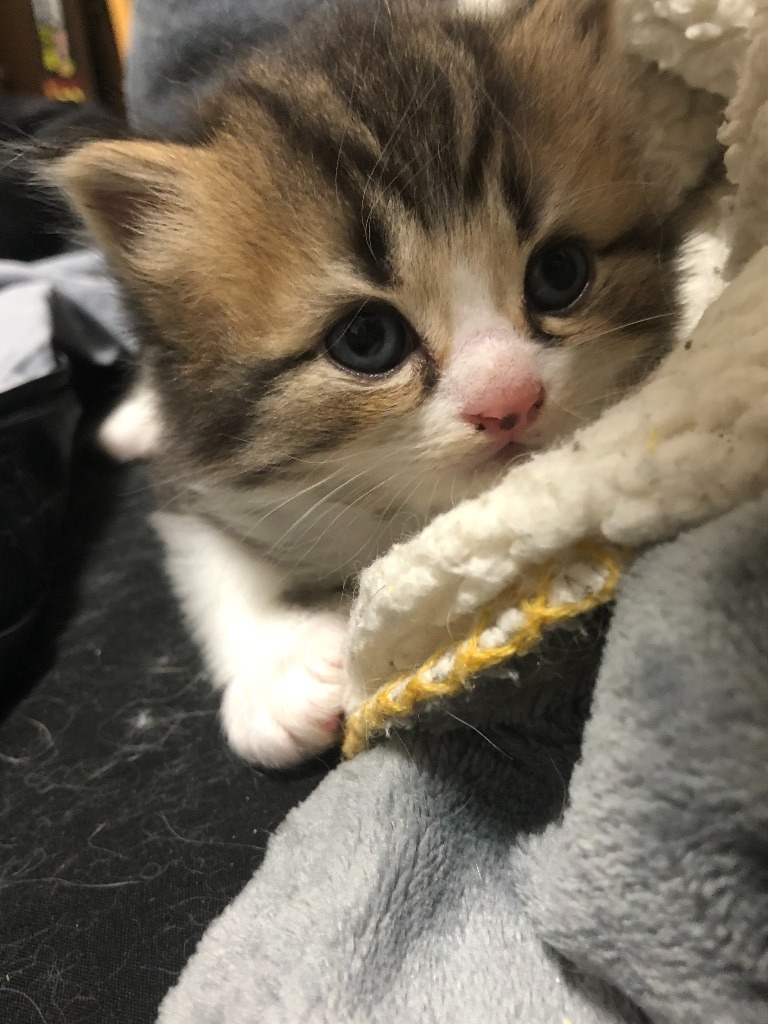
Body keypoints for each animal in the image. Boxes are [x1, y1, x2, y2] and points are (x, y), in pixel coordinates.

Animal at [53, 0, 689, 767]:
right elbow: (209, 560)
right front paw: (279, 675)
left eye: (559, 274)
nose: (508, 402)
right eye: (365, 339)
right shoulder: (192, 462)